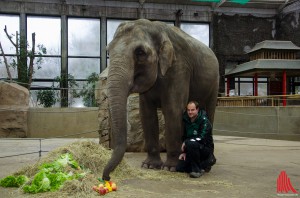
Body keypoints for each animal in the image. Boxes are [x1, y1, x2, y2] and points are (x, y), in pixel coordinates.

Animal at [102, 19, 219, 181]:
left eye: (140, 52)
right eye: (108, 51)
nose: (107, 178)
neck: (155, 27)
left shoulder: (179, 68)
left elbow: (173, 111)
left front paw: (171, 168)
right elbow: (146, 114)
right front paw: (149, 166)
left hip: (215, 83)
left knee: (209, 112)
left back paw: (207, 165)